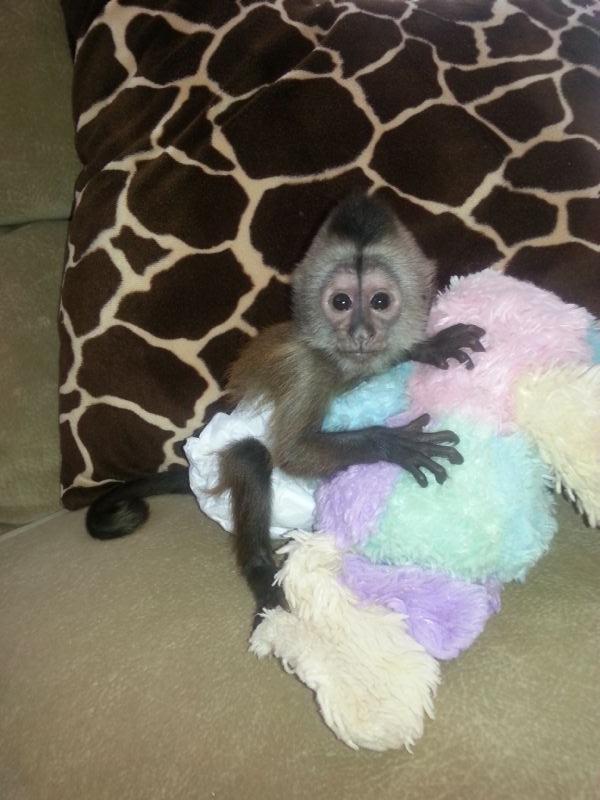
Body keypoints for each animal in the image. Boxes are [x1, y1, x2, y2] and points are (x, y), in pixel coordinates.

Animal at [86, 193, 485, 623]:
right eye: (341, 302)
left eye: (380, 301)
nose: (360, 332)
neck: (339, 362)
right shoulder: (303, 369)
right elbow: (293, 452)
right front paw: (392, 444)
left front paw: (426, 347)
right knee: (250, 455)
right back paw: (262, 573)